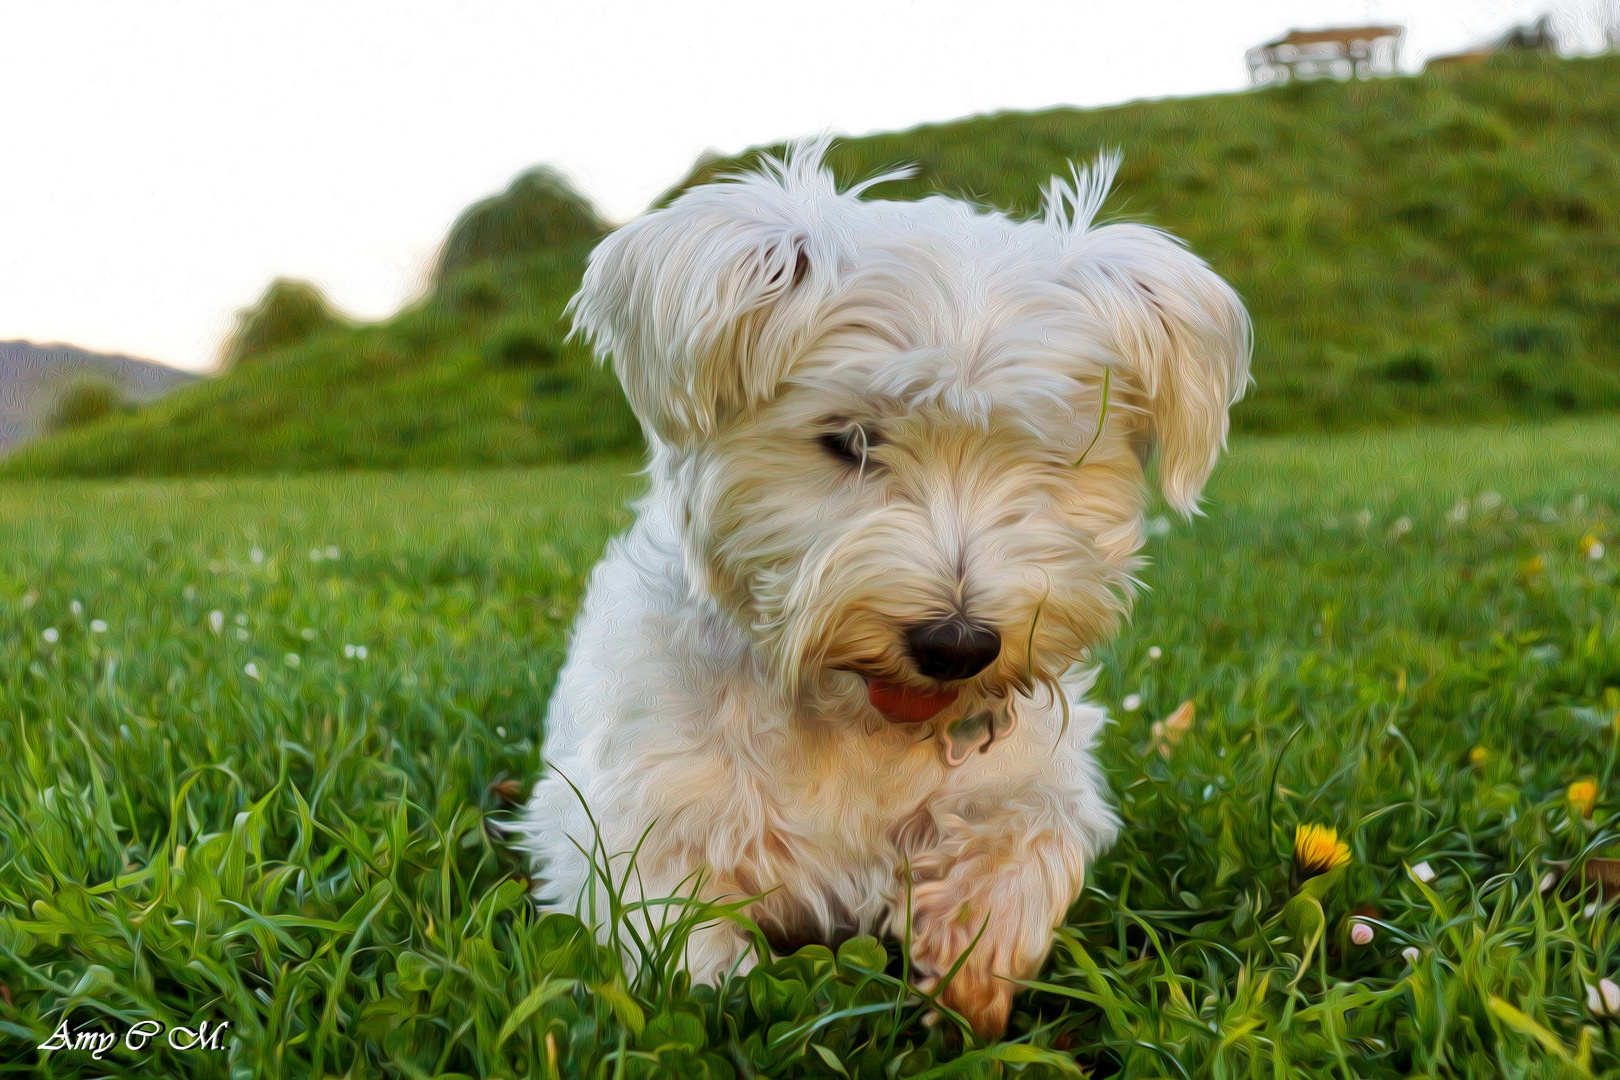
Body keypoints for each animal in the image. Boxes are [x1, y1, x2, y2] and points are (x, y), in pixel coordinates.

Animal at [511, 139, 1244, 1036]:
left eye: (1049, 456)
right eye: (850, 440)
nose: (957, 644)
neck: (855, 722)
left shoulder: (1042, 769)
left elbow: (1036, 827)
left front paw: (971, 947)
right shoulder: (620, 818)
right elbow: (677, 933)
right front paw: (724, 991)